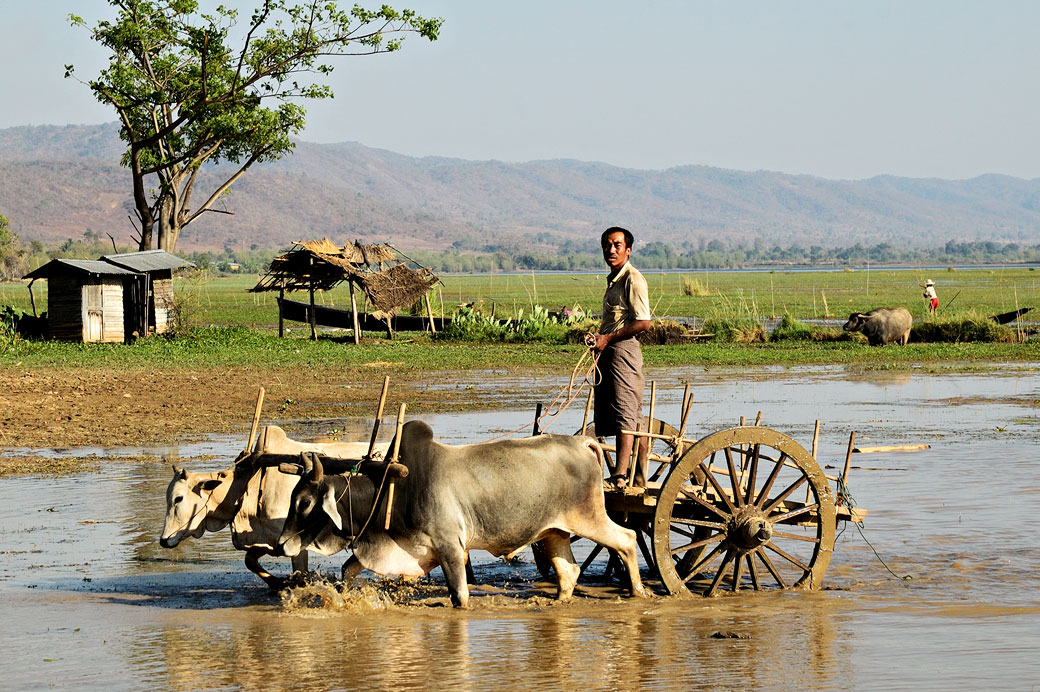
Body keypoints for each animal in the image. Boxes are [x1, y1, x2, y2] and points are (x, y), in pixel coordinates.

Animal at [160, 426, 388, 586]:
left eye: (178, 498)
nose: (163, 540)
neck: (251, 482)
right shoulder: (267, 540)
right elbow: (250, 561)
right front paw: (277, 584)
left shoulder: (293, 541)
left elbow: (299, 572)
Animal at [280, 418, 644, 607]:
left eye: (304, 503)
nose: (282, 544)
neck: (393, 490)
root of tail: (582, 442)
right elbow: (348, 569)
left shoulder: (451, 547)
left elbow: (459, 594)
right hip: (552, 532)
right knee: (568, 571)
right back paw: (559, 602)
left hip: (589, 517)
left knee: (626, 539)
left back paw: (640, 591)